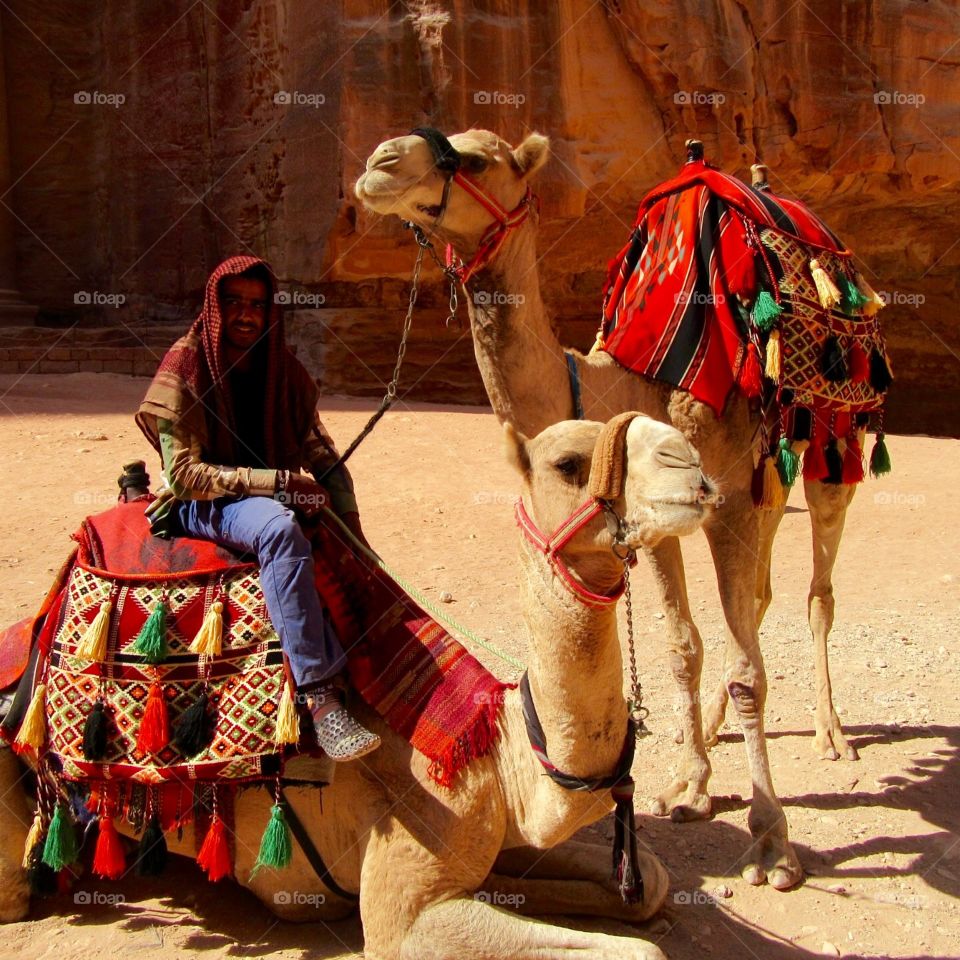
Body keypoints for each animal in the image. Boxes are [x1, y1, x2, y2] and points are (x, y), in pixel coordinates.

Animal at [0, 413, 712, 960]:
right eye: (568, 464)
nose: (693, 465)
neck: (488, 753)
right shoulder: (407, 904)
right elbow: (640, 949)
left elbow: (648, 882)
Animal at [355, 128, 864, 890]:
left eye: (474, 159)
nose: (377, 163)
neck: (618, 385)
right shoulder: (660, 523)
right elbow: (684, 647)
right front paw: (691, 785)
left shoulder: (728, 499)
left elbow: (747, 672)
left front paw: (773, 844)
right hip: (770, 480)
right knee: (763, 594)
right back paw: (710, 728)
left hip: (829, 447)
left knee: (816, 589)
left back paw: (833, 734)